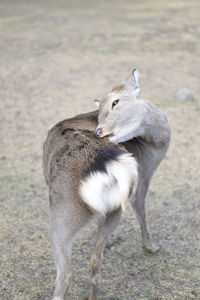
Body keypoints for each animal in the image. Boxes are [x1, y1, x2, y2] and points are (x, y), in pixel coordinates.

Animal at [42, 68, 170, 300]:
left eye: (115, 102)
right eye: (100, 110)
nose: (98, 131)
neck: (156, 141)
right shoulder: (146, 169)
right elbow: (140, 206)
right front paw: (151, 246)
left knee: (92, 258)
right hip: (68, 213)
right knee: (66, 273)